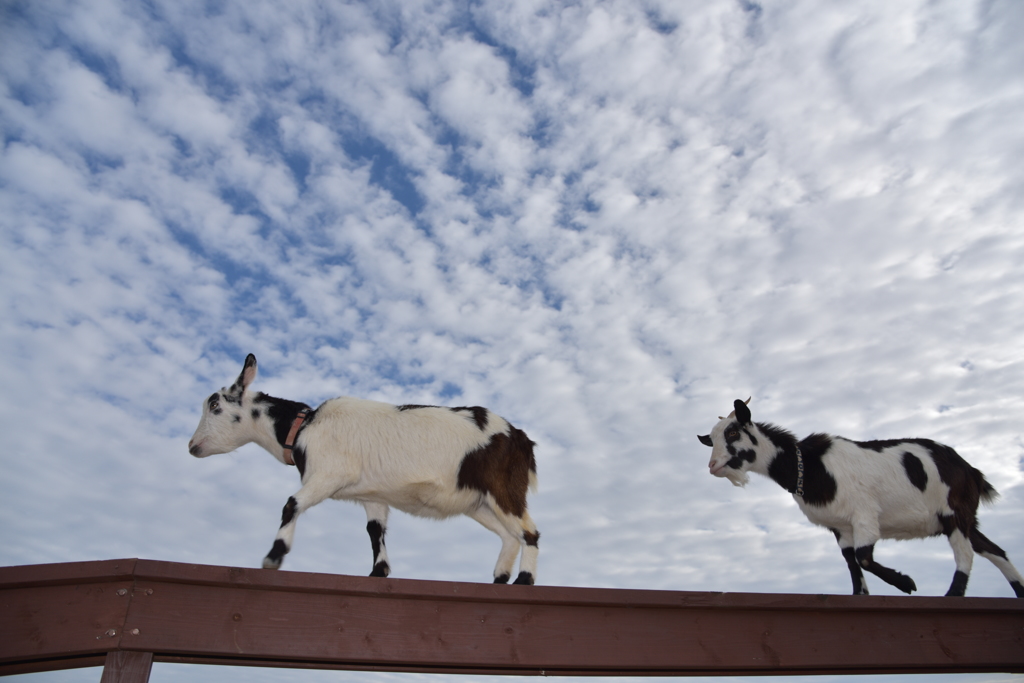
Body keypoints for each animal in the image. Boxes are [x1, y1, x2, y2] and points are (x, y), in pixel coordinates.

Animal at [188, 356, 540, 585]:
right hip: (478, 502)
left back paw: (524, 580)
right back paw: (499, 579)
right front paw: (378, 572)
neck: (304, 428)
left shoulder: (328, 476)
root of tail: (521, 438)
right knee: (510, 537)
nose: (192, 446)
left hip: (503, 490)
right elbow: (374, 531)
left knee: (530, 533)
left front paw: (274, 556)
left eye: (215, 406)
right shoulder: (373, 496)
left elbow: (291, 504)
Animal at [696, 397, 1024, 593]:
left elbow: (864, 557)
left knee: (965, 555)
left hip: (954, 512)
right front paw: (861, 594)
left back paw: (950, 596)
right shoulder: (841, 528)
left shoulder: (864, 515)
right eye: (711, 439)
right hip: (963, 519)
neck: (811, 465)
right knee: (996, 551)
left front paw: (906, 582)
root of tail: (971, 471)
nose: (712, 465)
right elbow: (853, 564)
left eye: (733, 433)